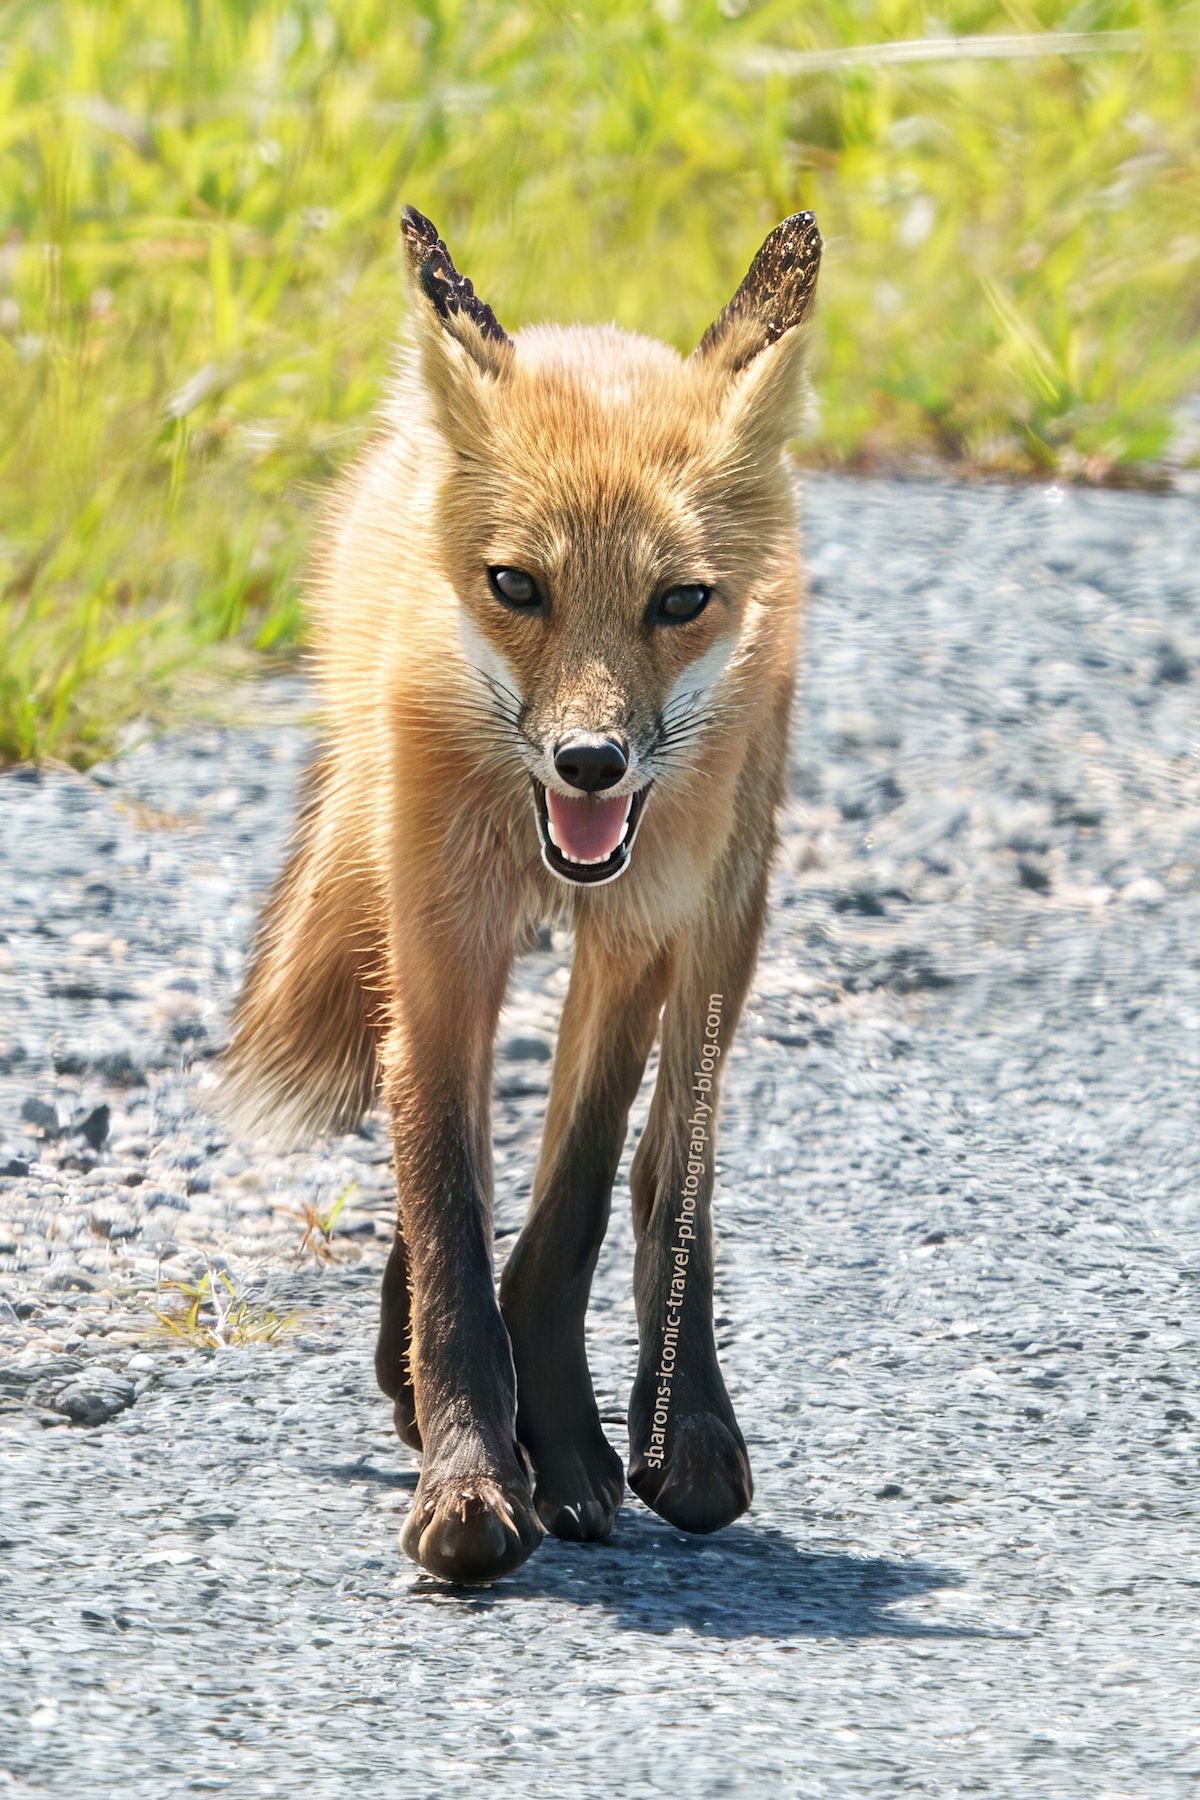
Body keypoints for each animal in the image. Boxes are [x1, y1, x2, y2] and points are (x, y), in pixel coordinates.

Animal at [223, 203, 822, 1584]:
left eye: (679, 600)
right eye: (517, 587)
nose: (590, 761)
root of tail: (593, 332)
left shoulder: (635, 938)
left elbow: (574, 1209)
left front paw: (571, 1452)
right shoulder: (441, 942)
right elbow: (448, 1202)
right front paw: (472, 1474)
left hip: (725, 917)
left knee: (674, 1165)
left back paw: (685, 1432)